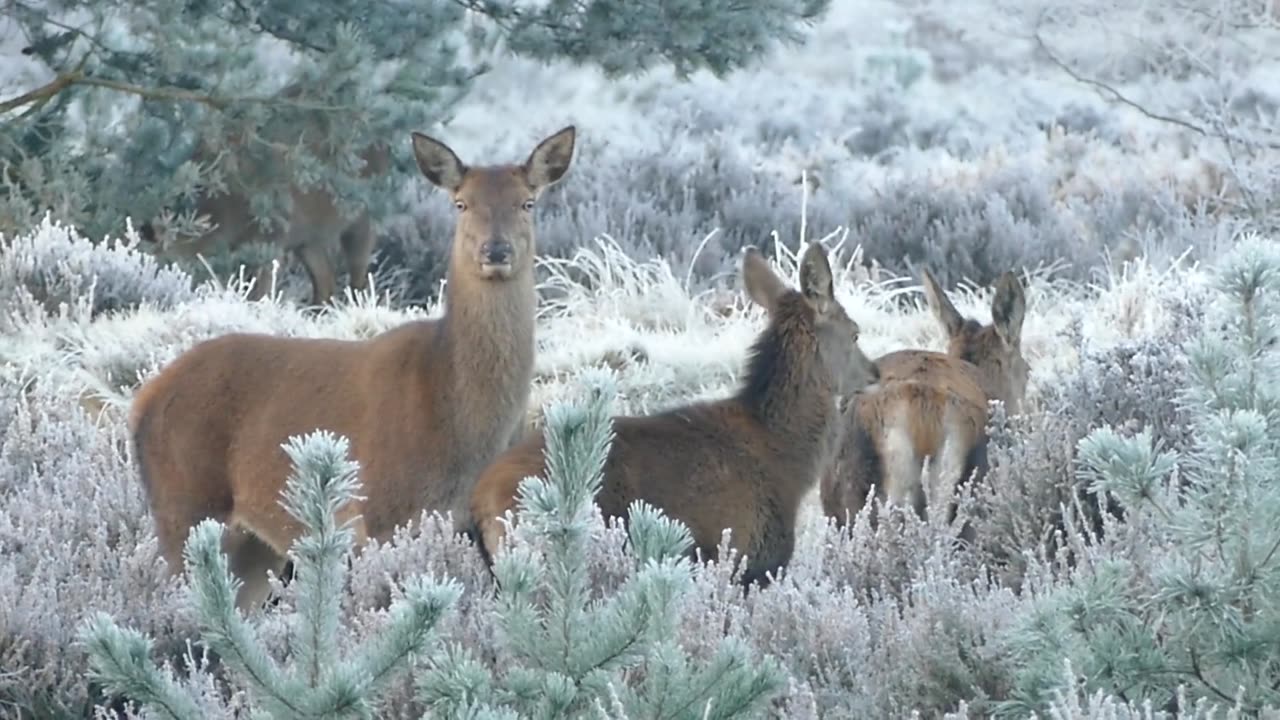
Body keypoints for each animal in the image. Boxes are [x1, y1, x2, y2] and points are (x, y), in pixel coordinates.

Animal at [127, 124, 578, 609]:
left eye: (527, 202)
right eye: (461, 203)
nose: (496, 250)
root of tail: (142, 400)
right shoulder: (378, 511)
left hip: (253, 543)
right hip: (183, 502)